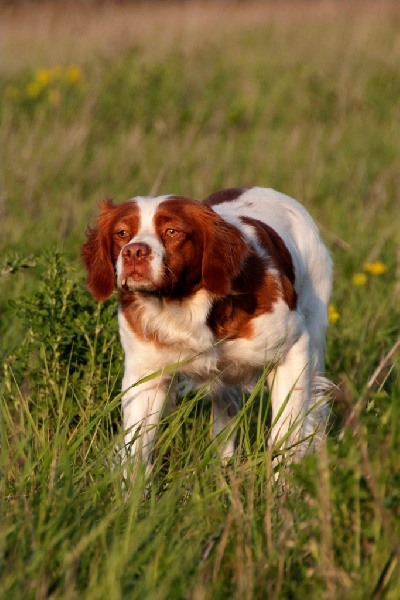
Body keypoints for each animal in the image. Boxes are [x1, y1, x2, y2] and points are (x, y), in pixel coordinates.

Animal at [80, 188, 332, 474]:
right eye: (122, 233)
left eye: (172, 231)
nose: (133, 252)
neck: (183, 306)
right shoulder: (145, 375)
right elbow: (136, 452)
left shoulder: (293, 349)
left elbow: (284, 436)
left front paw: (281, 484)